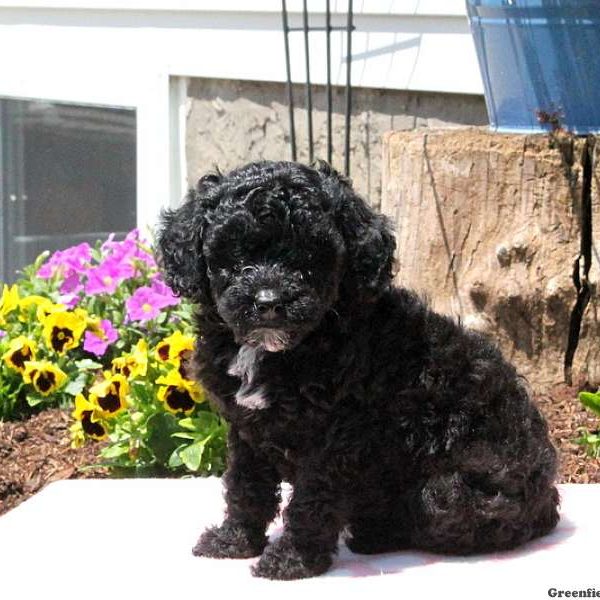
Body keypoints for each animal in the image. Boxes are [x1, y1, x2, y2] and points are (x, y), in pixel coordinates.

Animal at [157, 161, 560, 580]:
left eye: (310, 257)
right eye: (234, 254)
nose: (269, 302)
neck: (277, 350)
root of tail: (549, 501)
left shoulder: (336, 437)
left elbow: (311, 499)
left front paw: (291, 560)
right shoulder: (246, 427)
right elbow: (245, 486)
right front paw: (233, 542)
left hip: (449, 492)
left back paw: (376, 534)